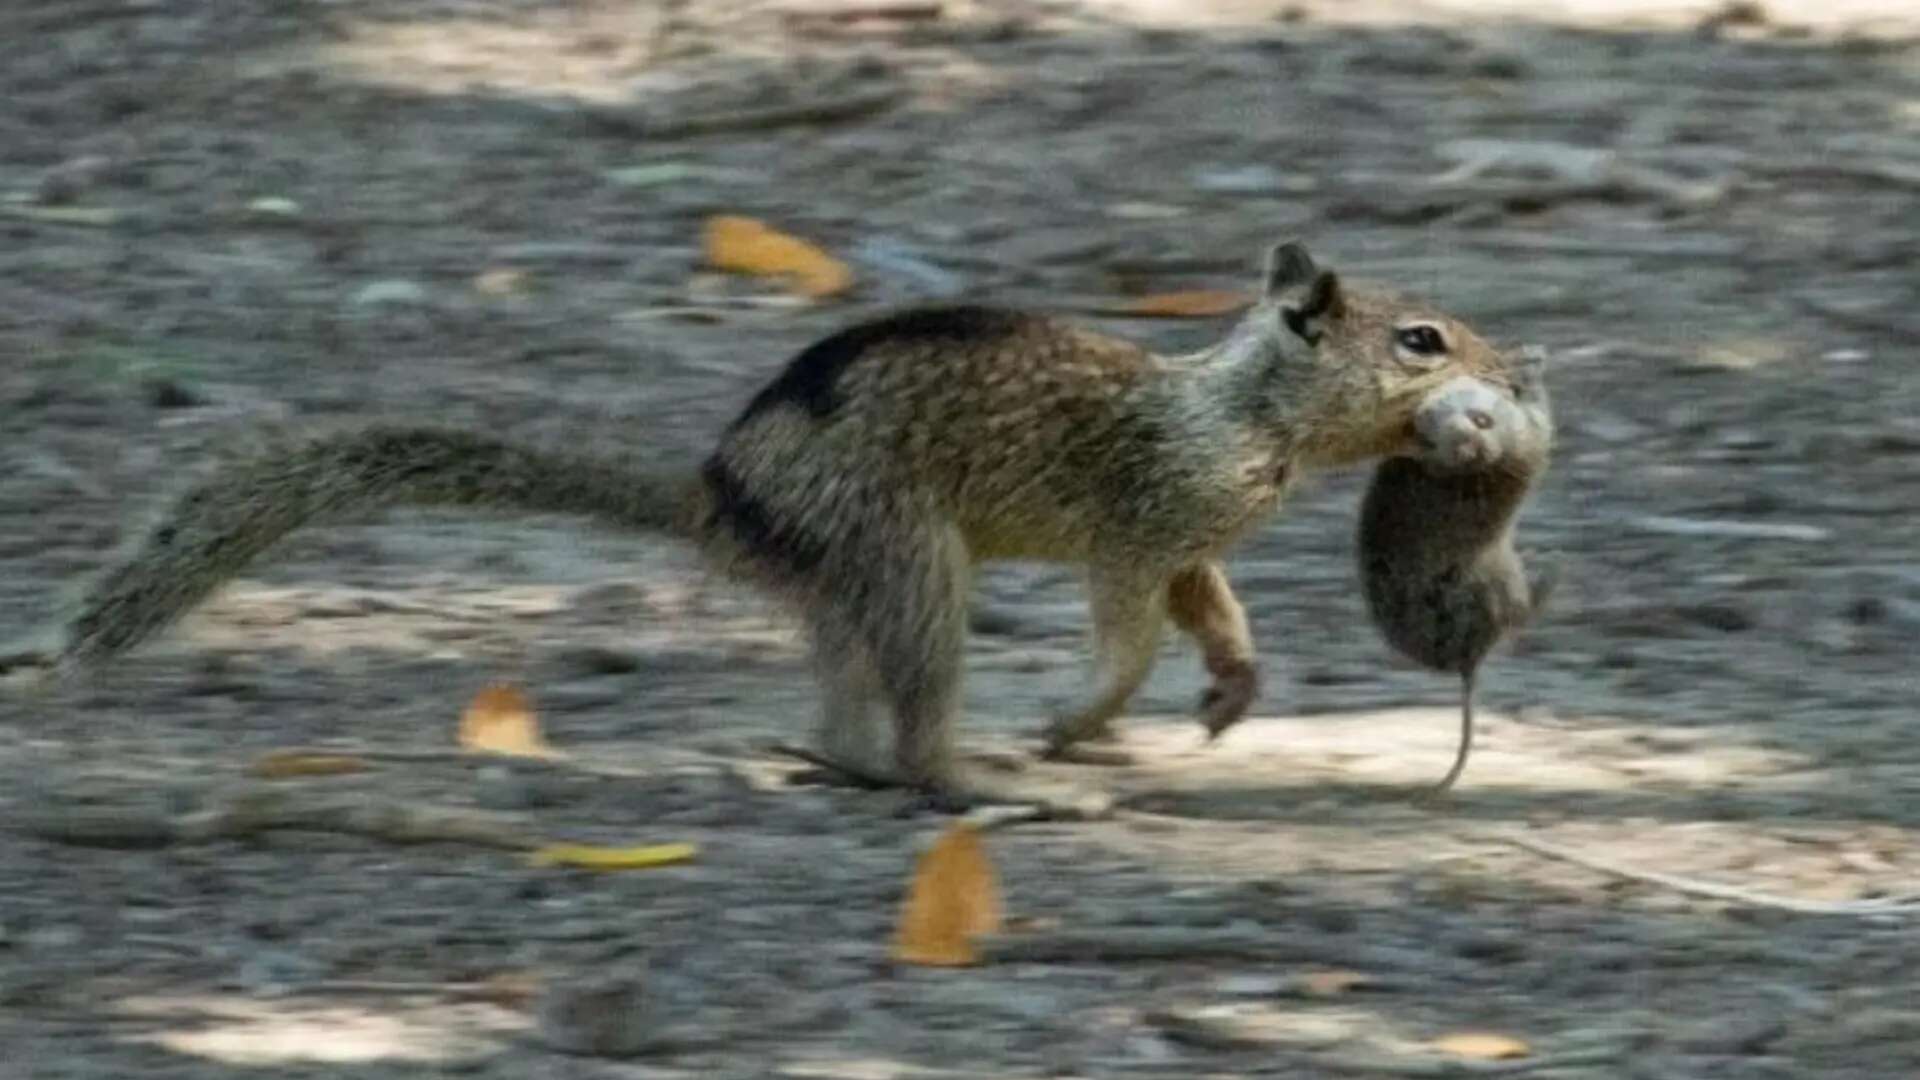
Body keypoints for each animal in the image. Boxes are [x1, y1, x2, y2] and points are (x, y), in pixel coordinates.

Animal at [37, 239, 1520, 814]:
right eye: (1422, 340)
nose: (1511, 369)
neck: (1245, 410)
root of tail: (718, 493)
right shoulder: (1141, 523)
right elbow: (1128, 632)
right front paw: (1084, 718)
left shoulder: (1194, 542)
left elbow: (1216, 610)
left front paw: (1233, 690)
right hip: (910, 559)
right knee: (912, 726)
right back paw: (986, 775)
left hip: (855, 584)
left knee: (845, 718)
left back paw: (849, 762)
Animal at [1359, 345, 1551, 799]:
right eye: (1428, 439)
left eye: (1481, 420)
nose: (1472, 450)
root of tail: (1467, 661)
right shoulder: (1531, 438)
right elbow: (1542, 416)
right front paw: (1530, 364)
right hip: (1501, 581)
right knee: (1521, 615)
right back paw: (1552, 576)